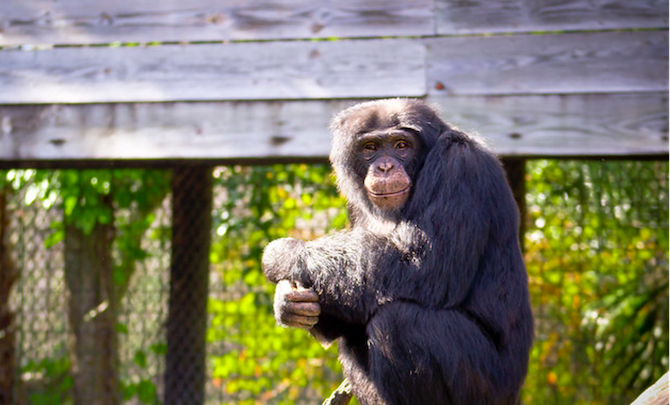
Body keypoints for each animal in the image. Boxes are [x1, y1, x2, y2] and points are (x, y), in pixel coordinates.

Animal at [262, 98, 536, 404]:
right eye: (370, 147)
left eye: (401, 145)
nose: (384, 167)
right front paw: (286, 302)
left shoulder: (460, 167)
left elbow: (420, 264)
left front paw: (283, 253)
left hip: (486, 385)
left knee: (398, 321)